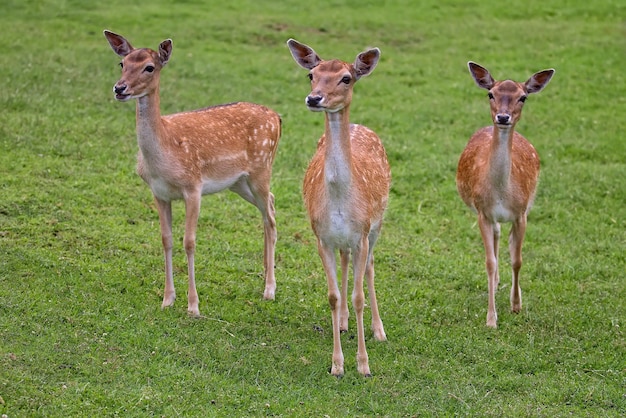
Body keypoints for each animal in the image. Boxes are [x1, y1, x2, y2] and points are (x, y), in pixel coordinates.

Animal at [103, 29, 280, 316]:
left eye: (149, 67)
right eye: (122, 63)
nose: (120, 88)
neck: (163, 157)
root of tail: (277, 117)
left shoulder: (193, 187)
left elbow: (189, 241)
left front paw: (193, 306)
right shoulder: (159, 193)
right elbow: (166, 239)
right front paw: (167, 300)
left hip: (262, 168)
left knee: (271, 217)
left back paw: (269, 290)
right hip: (239, 182)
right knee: (270, 207)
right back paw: (265, 278)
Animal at [286, 39, 388, 378]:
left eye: (346, 77)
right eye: (312, 75)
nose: (314, 97)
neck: (342, 202)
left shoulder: (362, 234)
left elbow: (358, 297)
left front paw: (364, 365)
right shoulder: (322, 236)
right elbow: (332, 296)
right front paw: (337, 364)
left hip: (377, 226)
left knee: (369, 267)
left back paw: (379, 331)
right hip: (344, 240)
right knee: (346, 264)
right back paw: (343, 324)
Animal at [454, 61, 552, 330]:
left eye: (523, 97)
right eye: (491, 94)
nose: (503, 117)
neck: (501, 193)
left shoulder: (521, 214)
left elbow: (517, 260)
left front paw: (516, 305)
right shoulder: (483, 213)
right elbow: (489, 262)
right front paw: (491, 319)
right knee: (498, 236)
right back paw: (497, 282)